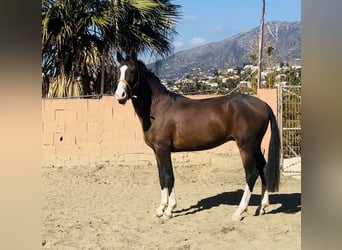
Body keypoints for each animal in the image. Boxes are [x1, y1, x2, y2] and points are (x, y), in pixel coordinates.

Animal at [113, 52, 280, 221]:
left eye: (133, 71)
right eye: (118, 71)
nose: (120, 95)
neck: (158, 108)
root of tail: (263, 104)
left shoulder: (164, 150)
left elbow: (169, 177)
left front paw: (169, 210)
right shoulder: (157, 151)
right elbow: (162, 178)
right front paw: (161, 208)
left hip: (246, 146)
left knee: (251, 174)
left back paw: (239, 212)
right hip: (255, 146)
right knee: (263, 169)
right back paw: (261, 207)